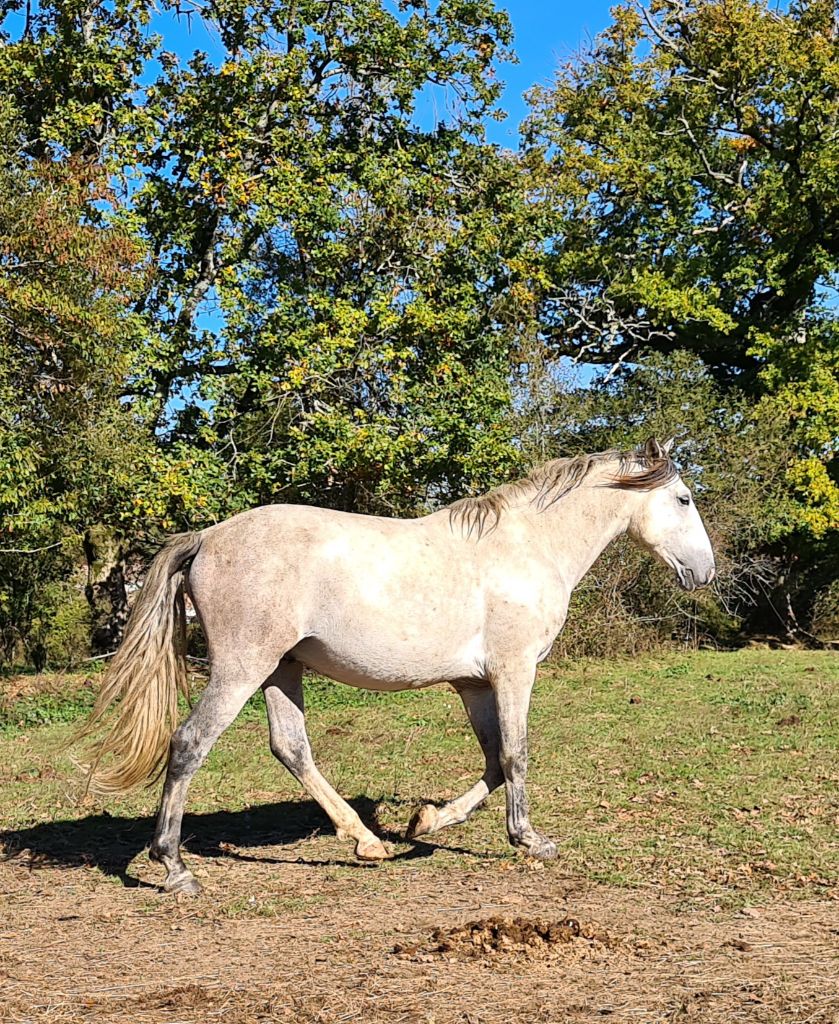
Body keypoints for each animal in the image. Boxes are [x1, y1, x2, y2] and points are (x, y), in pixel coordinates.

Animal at [73, 436, 717, 892]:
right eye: (683, 499)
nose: (704, 572)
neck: (527, 546)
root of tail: (208, 538)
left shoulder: (473, 684)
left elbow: (493, 762)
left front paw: (424, 823)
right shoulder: (513, 671)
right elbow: (515, 754)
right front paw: (530, 840)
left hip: (281, 669)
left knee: (291, 747)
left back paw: (367, 842)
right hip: (242, 668)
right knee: (189, 742)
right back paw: (175, 868)